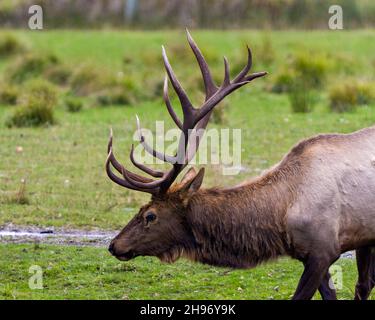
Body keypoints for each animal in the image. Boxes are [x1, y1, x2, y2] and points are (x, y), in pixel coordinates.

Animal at [106, 30, 375, 300]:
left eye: (150, 215)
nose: (114, 245)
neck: (281, 215)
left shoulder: (323, 250)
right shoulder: (310, 254)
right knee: (364, 284)